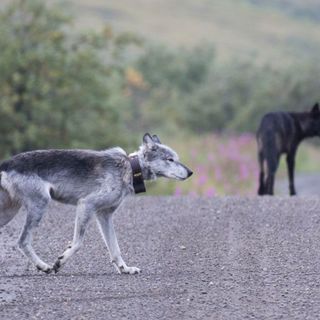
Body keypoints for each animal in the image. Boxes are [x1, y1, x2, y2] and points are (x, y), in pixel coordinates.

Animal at [0, 134, 192, 274]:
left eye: (176, 158)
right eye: (170, 159)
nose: (190, 172)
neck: (129, 168)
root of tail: (6, 163)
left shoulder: (104, 215)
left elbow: (115, 248)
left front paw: (125, 269)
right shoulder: (87, 205)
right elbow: (77, 243)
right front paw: (60, 262)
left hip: (11, 213)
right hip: (40, 205)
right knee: (22, 241)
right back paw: (43, 266)